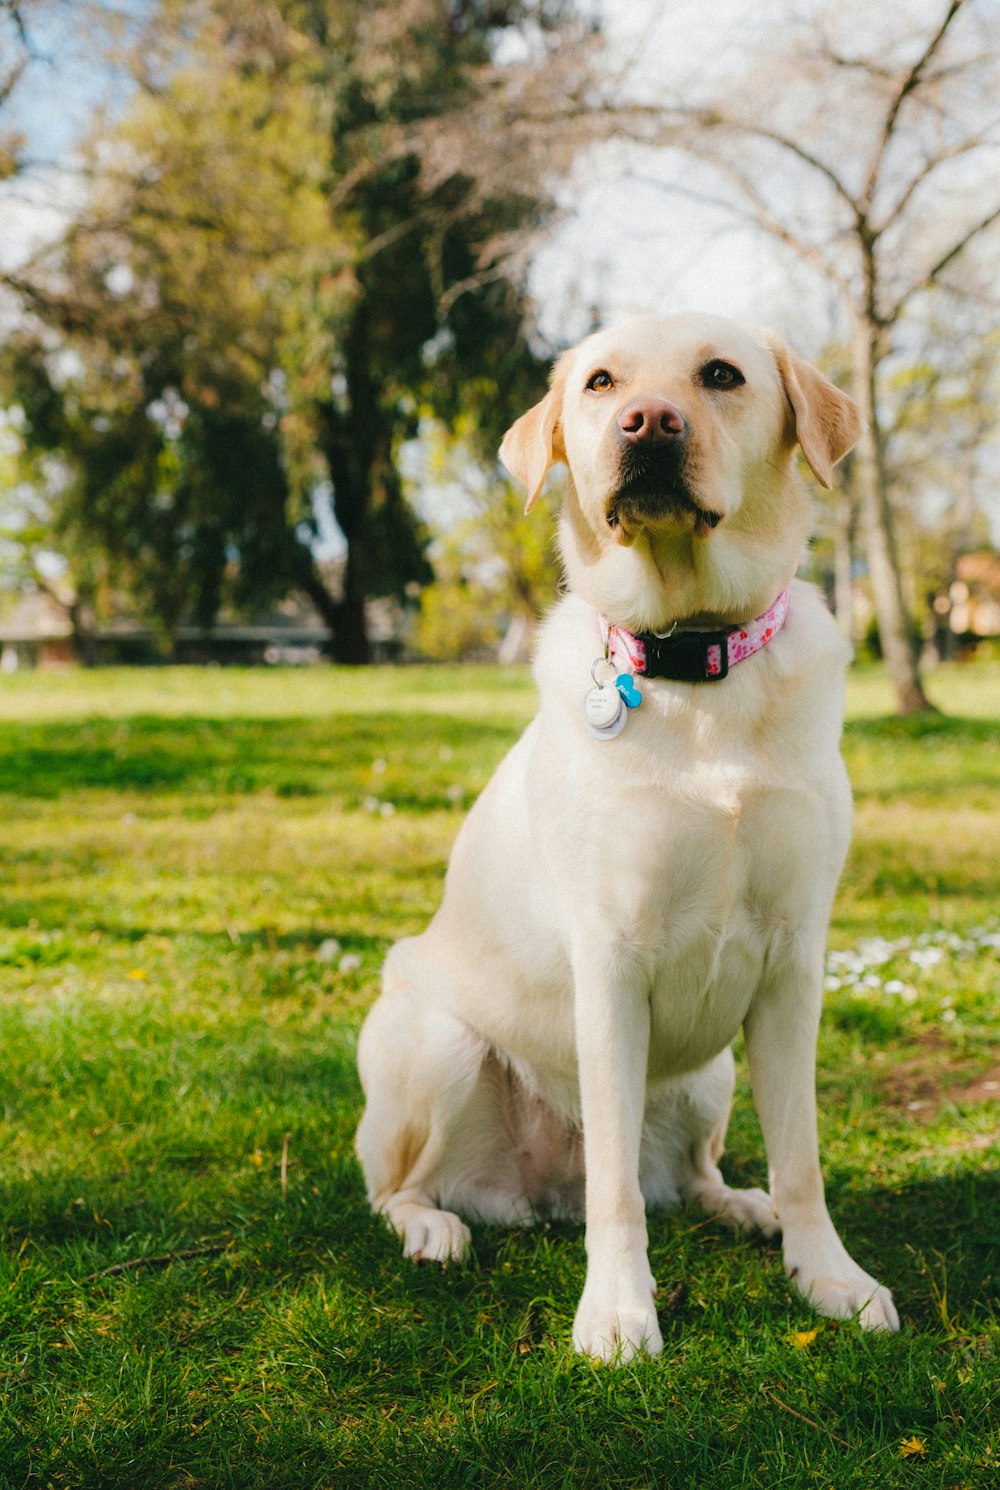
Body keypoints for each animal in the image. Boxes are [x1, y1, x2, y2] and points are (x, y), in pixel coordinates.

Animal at [357, 314, 900, 1364]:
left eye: (722, 375)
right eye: (602, 383)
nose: (647, 424)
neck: (697, 662)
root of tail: (540, 1195)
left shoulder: (794, 964)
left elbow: (803, 1157)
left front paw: (829, 1276)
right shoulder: (610, 962)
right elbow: (616, 1191)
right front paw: (617, 1310)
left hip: (711, 1075)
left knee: (688, 1175)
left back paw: (741, 1205)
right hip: (433, 1042)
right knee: (403, 1189)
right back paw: (433, 1227)